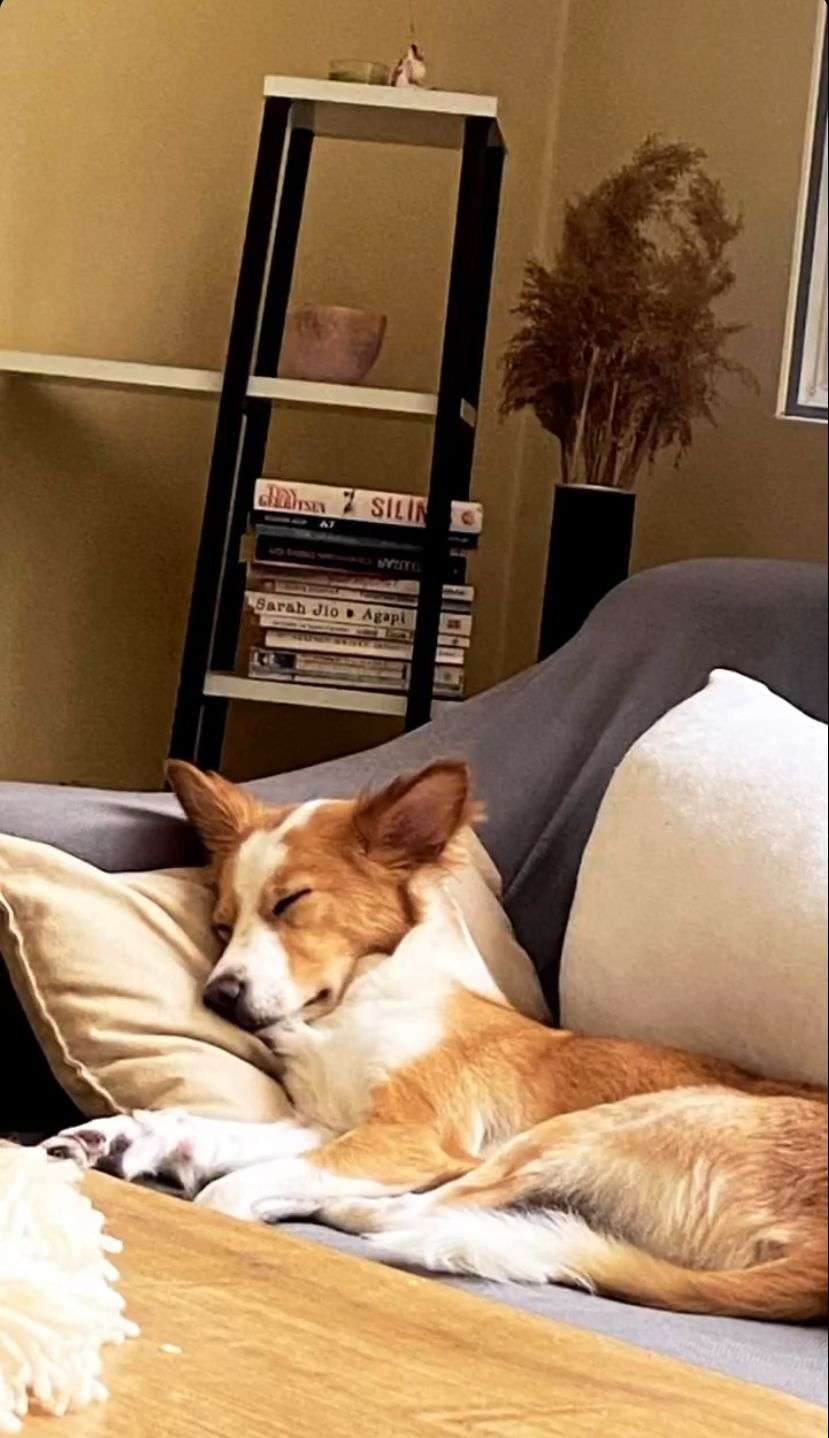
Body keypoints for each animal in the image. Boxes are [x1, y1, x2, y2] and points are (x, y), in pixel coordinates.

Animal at [45, 758, 828, 1319]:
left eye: (291, 902)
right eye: (221, 921)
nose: (217, 996)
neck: (359, 997)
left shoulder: (410, 1137)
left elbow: (236, 1188)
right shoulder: (329, 1125)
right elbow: (227, 1139)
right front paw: (133, 1135)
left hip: (602, 1125)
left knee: (424, 1209)